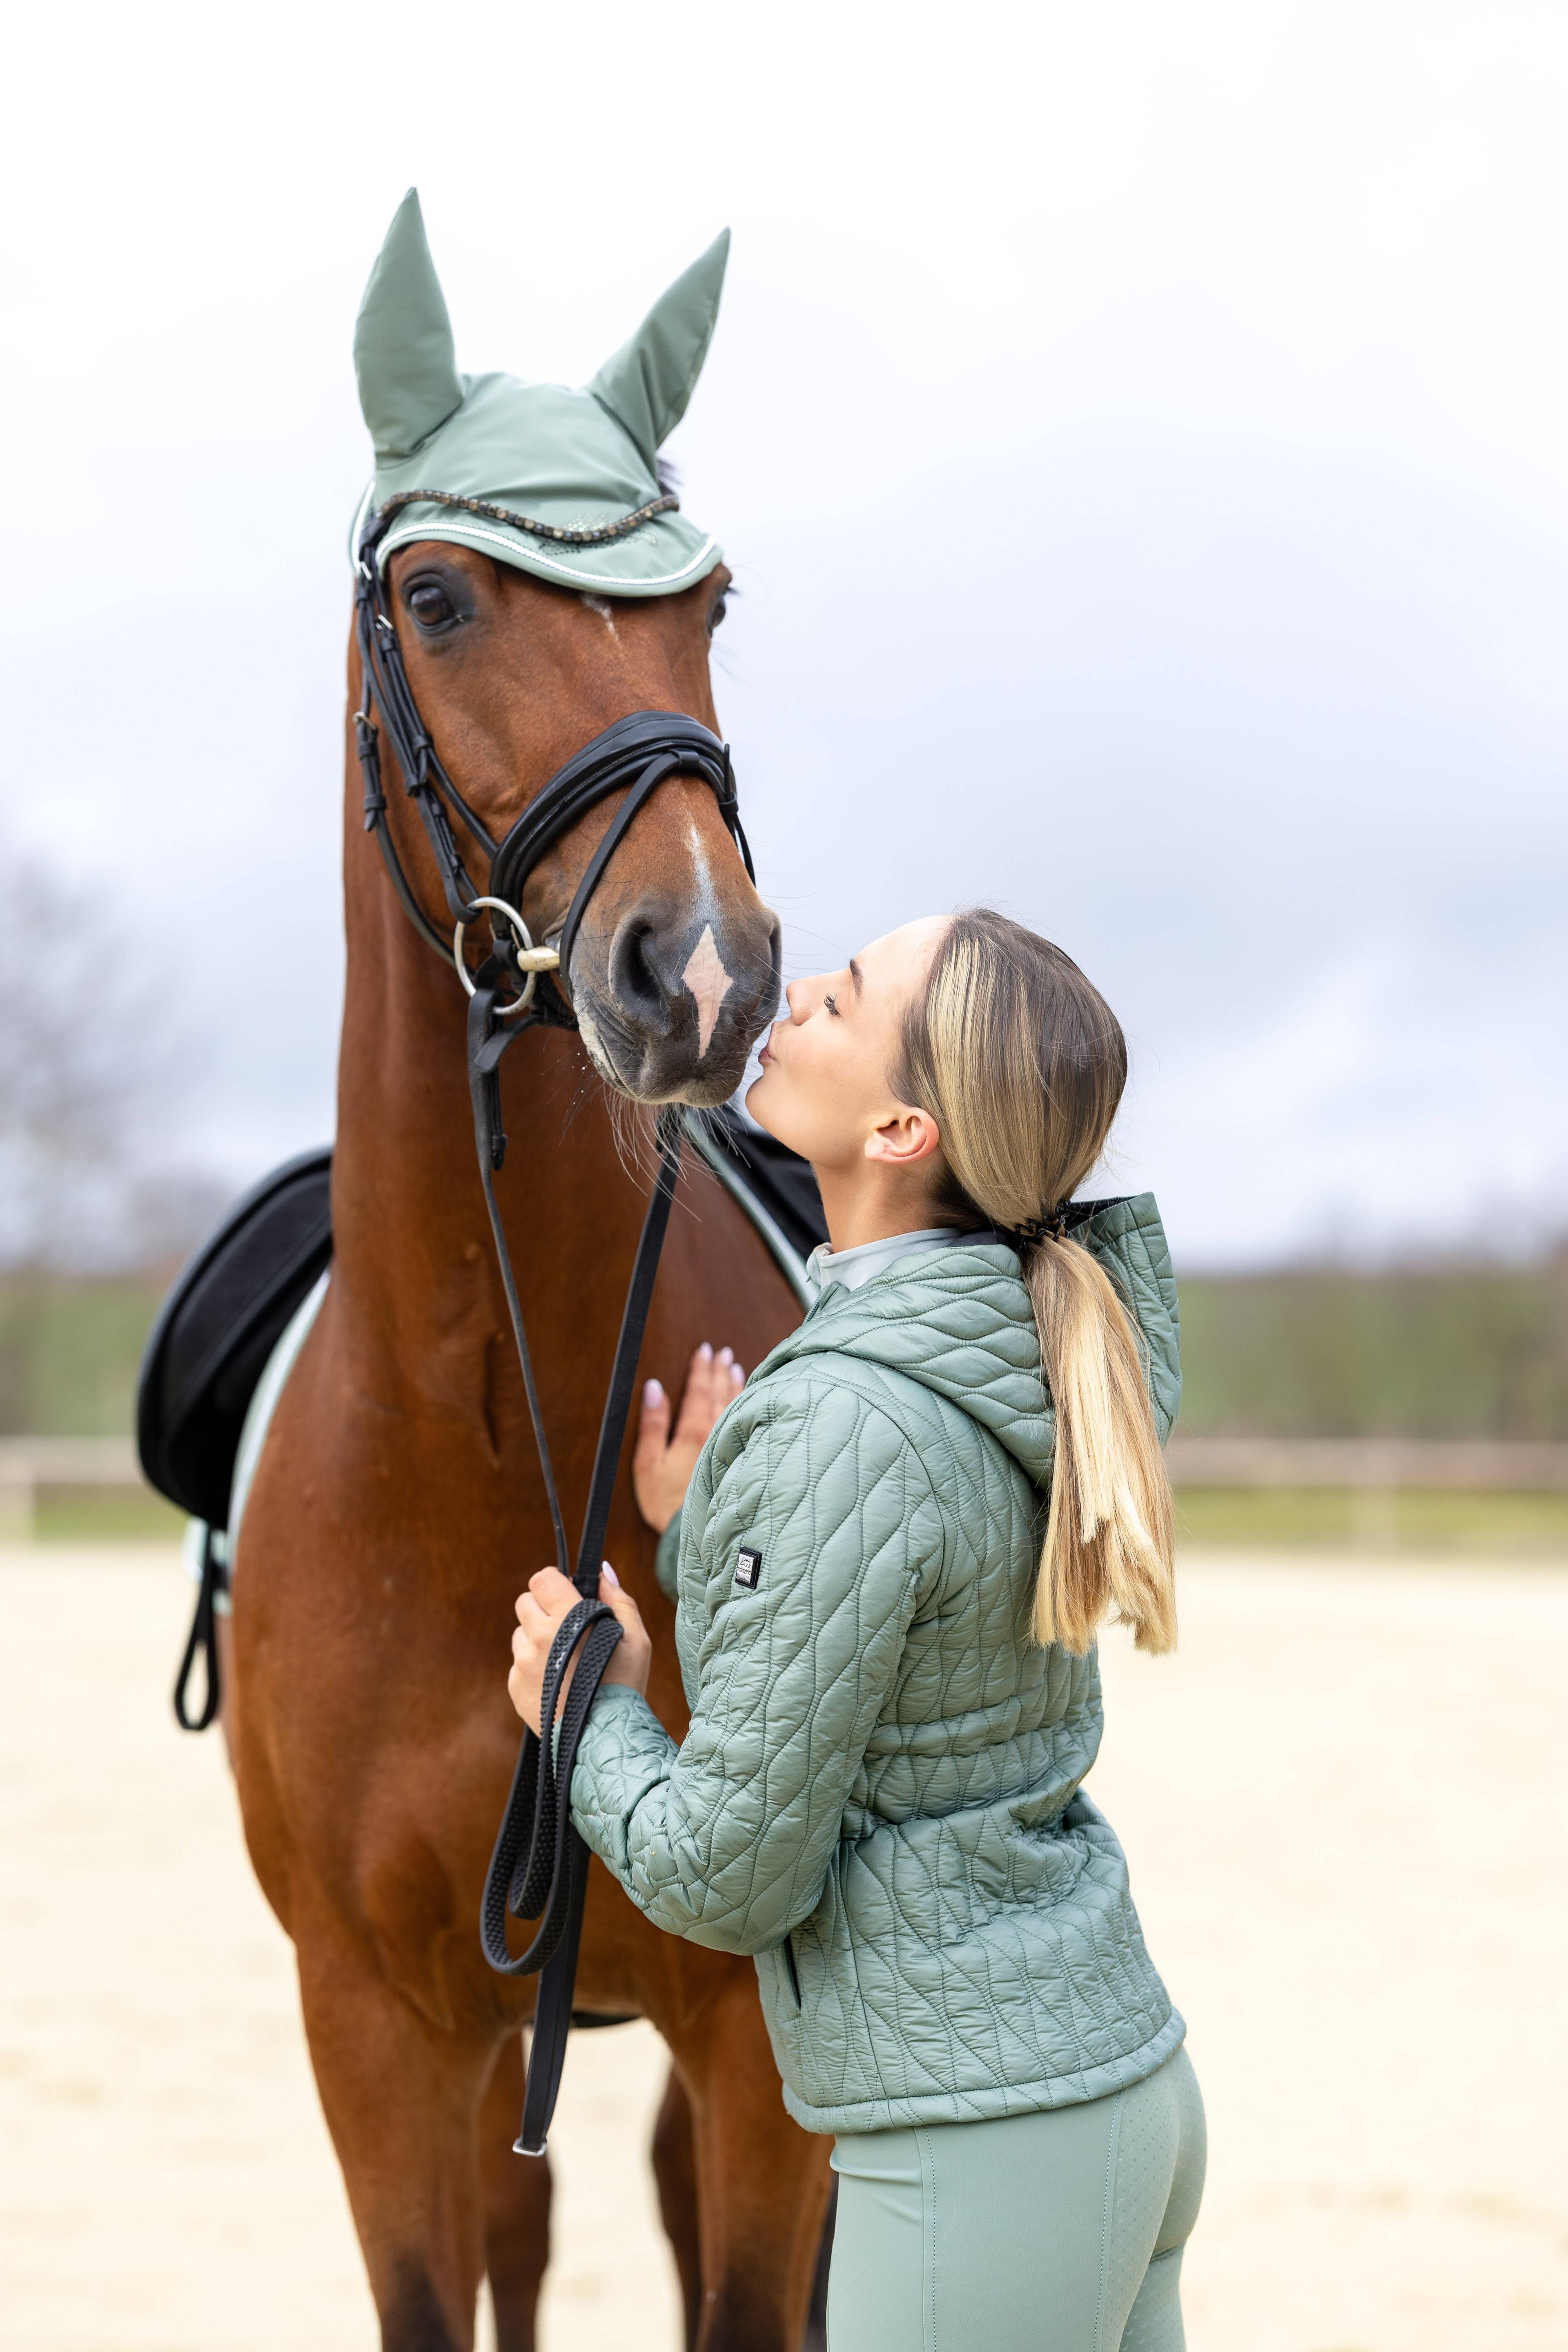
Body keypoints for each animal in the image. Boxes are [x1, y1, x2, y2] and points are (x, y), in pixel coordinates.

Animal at [223, 510, 832, 2333]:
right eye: (436, 598)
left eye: (712, 604)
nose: (702, 964)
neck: (481, 1445)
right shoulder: (380, 2024)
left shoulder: (753, 2028)